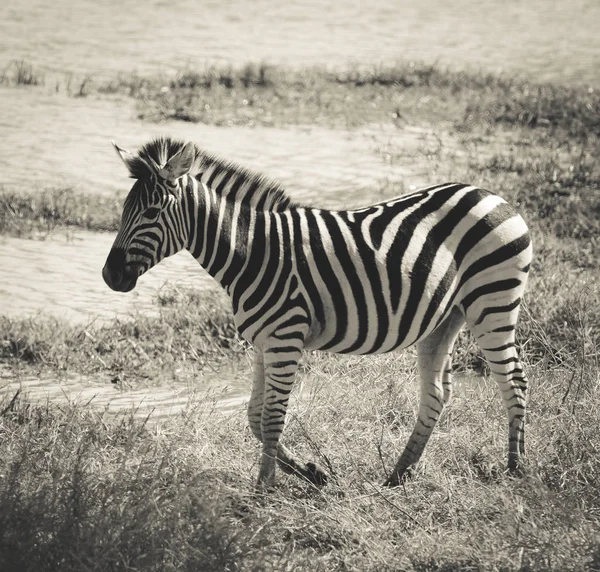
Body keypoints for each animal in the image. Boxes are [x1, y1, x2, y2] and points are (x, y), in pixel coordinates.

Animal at [102, 136, 528, 490]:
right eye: (124, 210)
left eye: (152, 212)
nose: (109, 276)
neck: (251, 251)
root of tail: (491, 194)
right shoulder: (262, 343)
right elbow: (254, 416)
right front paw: (311, 472)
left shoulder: (284, 340)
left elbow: (272, 418)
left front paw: (264, 489)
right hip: (444, 318)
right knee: (436, 393)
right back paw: (399, 474)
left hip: (492, 302)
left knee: (514, 380)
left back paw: (515, 468)